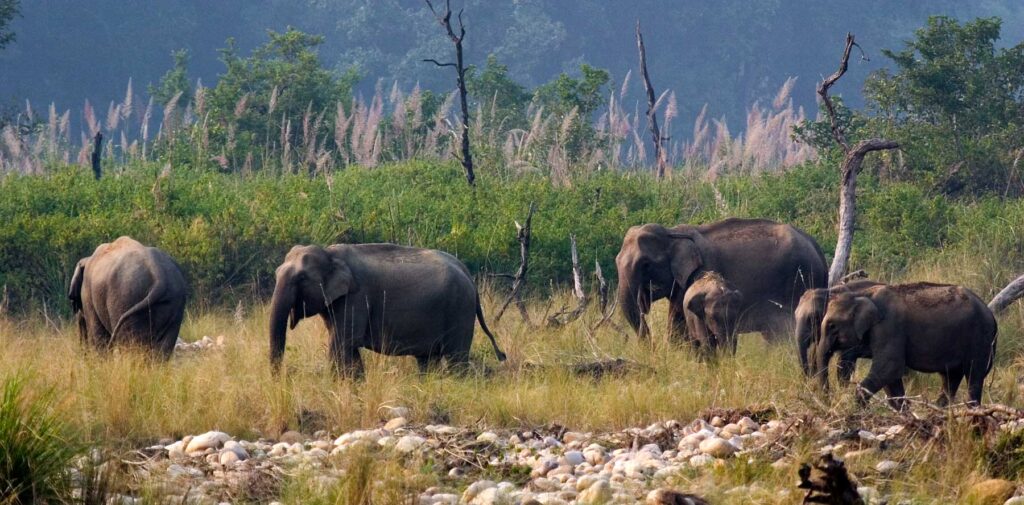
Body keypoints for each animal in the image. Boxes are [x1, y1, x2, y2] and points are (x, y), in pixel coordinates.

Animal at [268, 241, 507, 376]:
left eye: (301, 278)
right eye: (276, 273)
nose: (281, 379)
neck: (329, 254)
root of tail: (468, 275)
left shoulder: (356, 297)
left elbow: (342, 343)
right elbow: (348, 346)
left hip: (459, 309)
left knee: (456, 357)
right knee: (427, 359)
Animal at [614, 216, 823, 350]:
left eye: (646, 264)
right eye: (616, 261)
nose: (651, 348)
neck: (672, 233)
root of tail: (816, 246)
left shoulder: (701, 271)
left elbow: (679, 320)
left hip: (800, 279)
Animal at [819, 280, 995, 407]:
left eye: (832, 326)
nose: (829, 400)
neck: (863, 293)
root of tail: (991, 315)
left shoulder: (889, 326)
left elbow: (890, 366)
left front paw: (858, 407)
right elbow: (891, 377)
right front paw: (903, 411)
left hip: (980, 340)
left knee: (974, 375)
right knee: (950, 377)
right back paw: (939, 409)